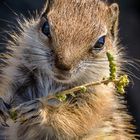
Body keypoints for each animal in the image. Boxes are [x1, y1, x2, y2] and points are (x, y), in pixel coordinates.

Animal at [0, 0, 137, 139]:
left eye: (101, 42)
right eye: (45, 27)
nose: (63, 65)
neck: (55, 82)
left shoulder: (96, 97)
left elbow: (78, 117)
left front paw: (43, 110)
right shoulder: (19, 67)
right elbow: (9, 86)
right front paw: (1, 105)